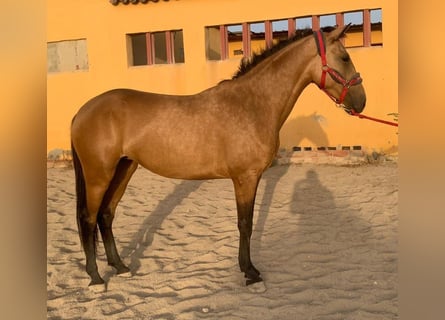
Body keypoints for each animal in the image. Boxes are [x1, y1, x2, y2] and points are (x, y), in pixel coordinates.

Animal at [71, 25, 366, 292]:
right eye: (344, 57)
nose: (361, 102)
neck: (252, 104)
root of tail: (82, 112)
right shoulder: (245, 178)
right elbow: (245, 224)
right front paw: (251, 273)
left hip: (124, 169)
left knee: (106, 215)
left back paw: (120, 267)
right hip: (98, 175)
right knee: (89, 218)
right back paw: (96, 278)